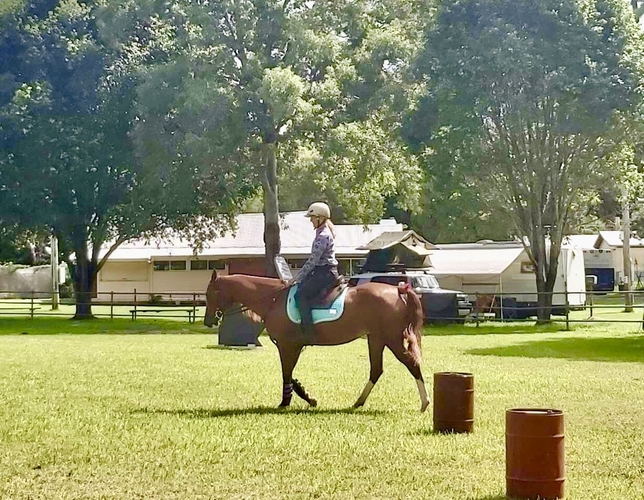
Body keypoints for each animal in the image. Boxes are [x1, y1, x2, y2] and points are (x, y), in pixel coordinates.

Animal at [203, 270, 430, 412]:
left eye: (210, 293)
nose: (208, 321)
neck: (272, 299)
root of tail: (399, 290)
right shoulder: (292, 346)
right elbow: (290, 373)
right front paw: (306, 396)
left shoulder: (286, 346)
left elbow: (286, 373)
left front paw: (287, 401)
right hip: (376, 338)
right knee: (377, 370)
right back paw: (358, 402)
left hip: (391, 339)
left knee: (411, 363)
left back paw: (425, 403)